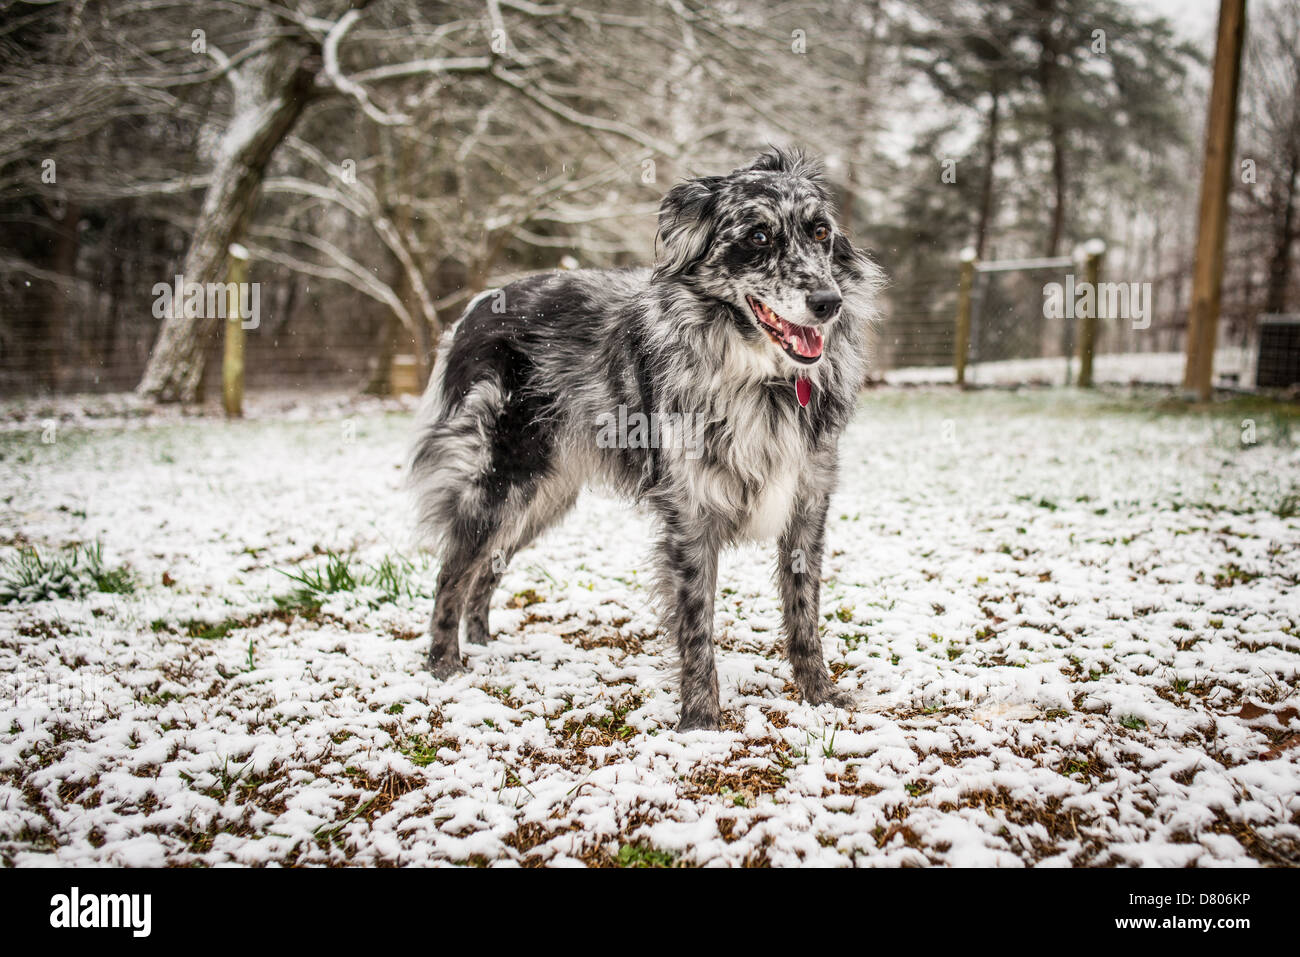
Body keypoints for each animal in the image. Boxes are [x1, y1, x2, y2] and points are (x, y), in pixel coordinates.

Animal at [408, 149, 883, 728]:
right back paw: (445, 663)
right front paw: (700, 720)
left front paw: (820, 696)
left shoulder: (807, 501)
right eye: (758, 236)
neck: (760, 376)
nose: (827, 302)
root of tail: (475, 307)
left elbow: (803, 612)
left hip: (542, 497)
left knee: (487, 567)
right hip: (501, 481)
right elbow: (697, 621)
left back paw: (483, 643)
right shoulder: (691, 511)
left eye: (820, 232)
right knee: (454, 569)